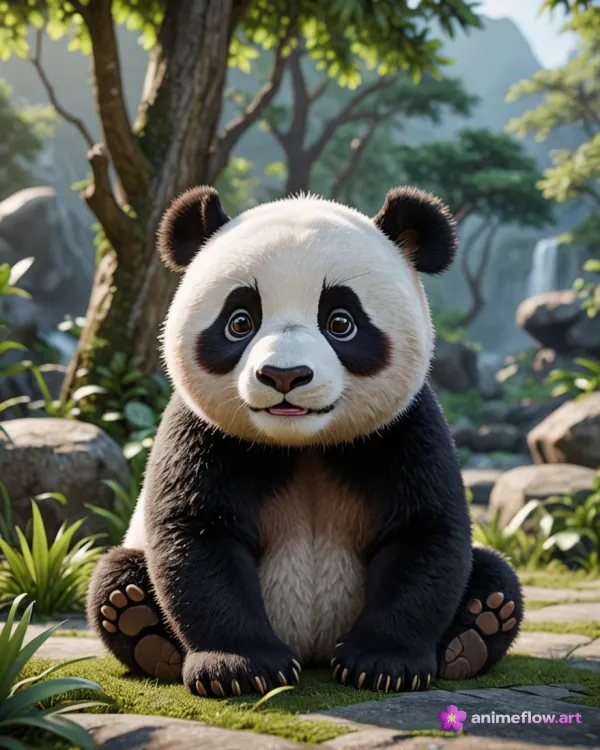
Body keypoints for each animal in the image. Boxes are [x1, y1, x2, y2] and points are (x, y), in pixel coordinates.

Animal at [87, 185, 523, 698]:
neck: (304, 445)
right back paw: (140, 625)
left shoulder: (405, 429)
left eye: (340, 322)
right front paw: (241, 668)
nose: (284, 375)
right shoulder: (203, 433)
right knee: (115, 574)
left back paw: (476, 632)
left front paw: (382, 664)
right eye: (240, 322)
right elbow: (197, 535)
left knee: (495, 573)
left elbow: (423, 532)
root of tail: (312, 647)